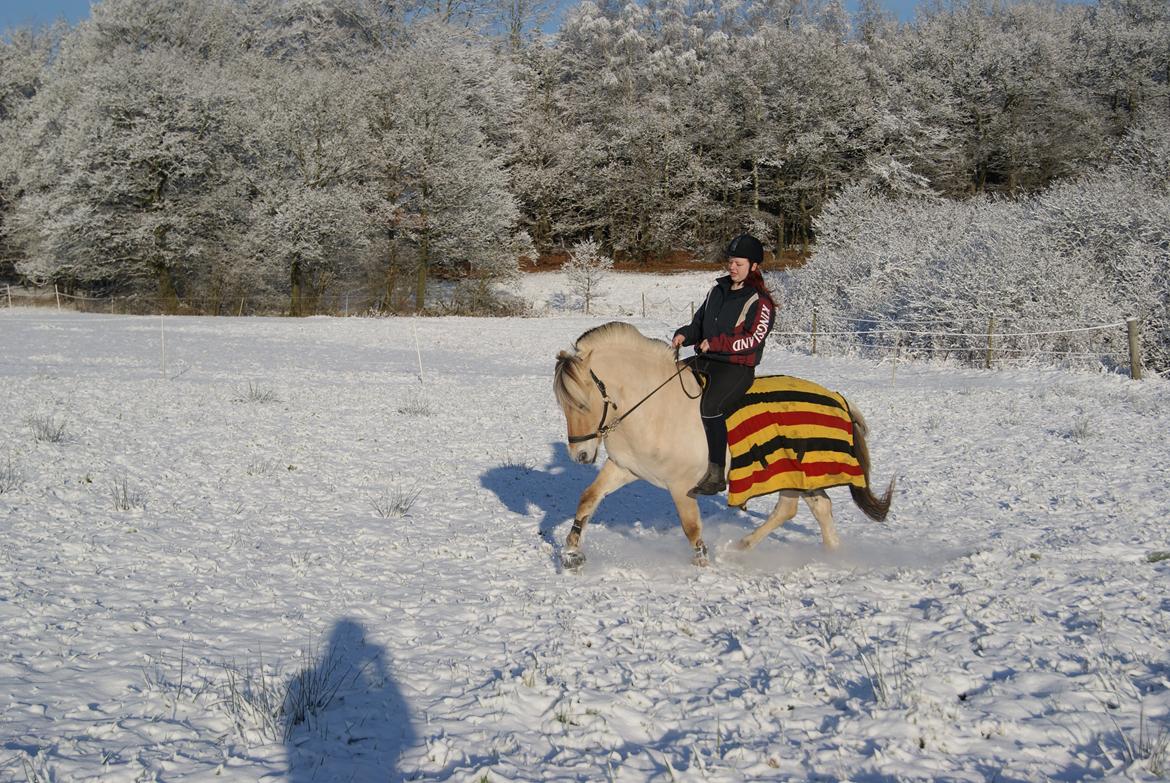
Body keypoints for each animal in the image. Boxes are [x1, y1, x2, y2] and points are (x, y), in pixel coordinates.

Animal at [552, 320, 889, 564]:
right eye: (562, 404)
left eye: (582, 404)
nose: (580, 454)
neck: (655, 407)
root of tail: (837, 398)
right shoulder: (625, 468)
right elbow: (588, 499)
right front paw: (572, 551)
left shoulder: (682, 485)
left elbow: (691, 528)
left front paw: (703, 562)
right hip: (798, 474)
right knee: (812, 508)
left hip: (795, 472)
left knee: (796, 509)